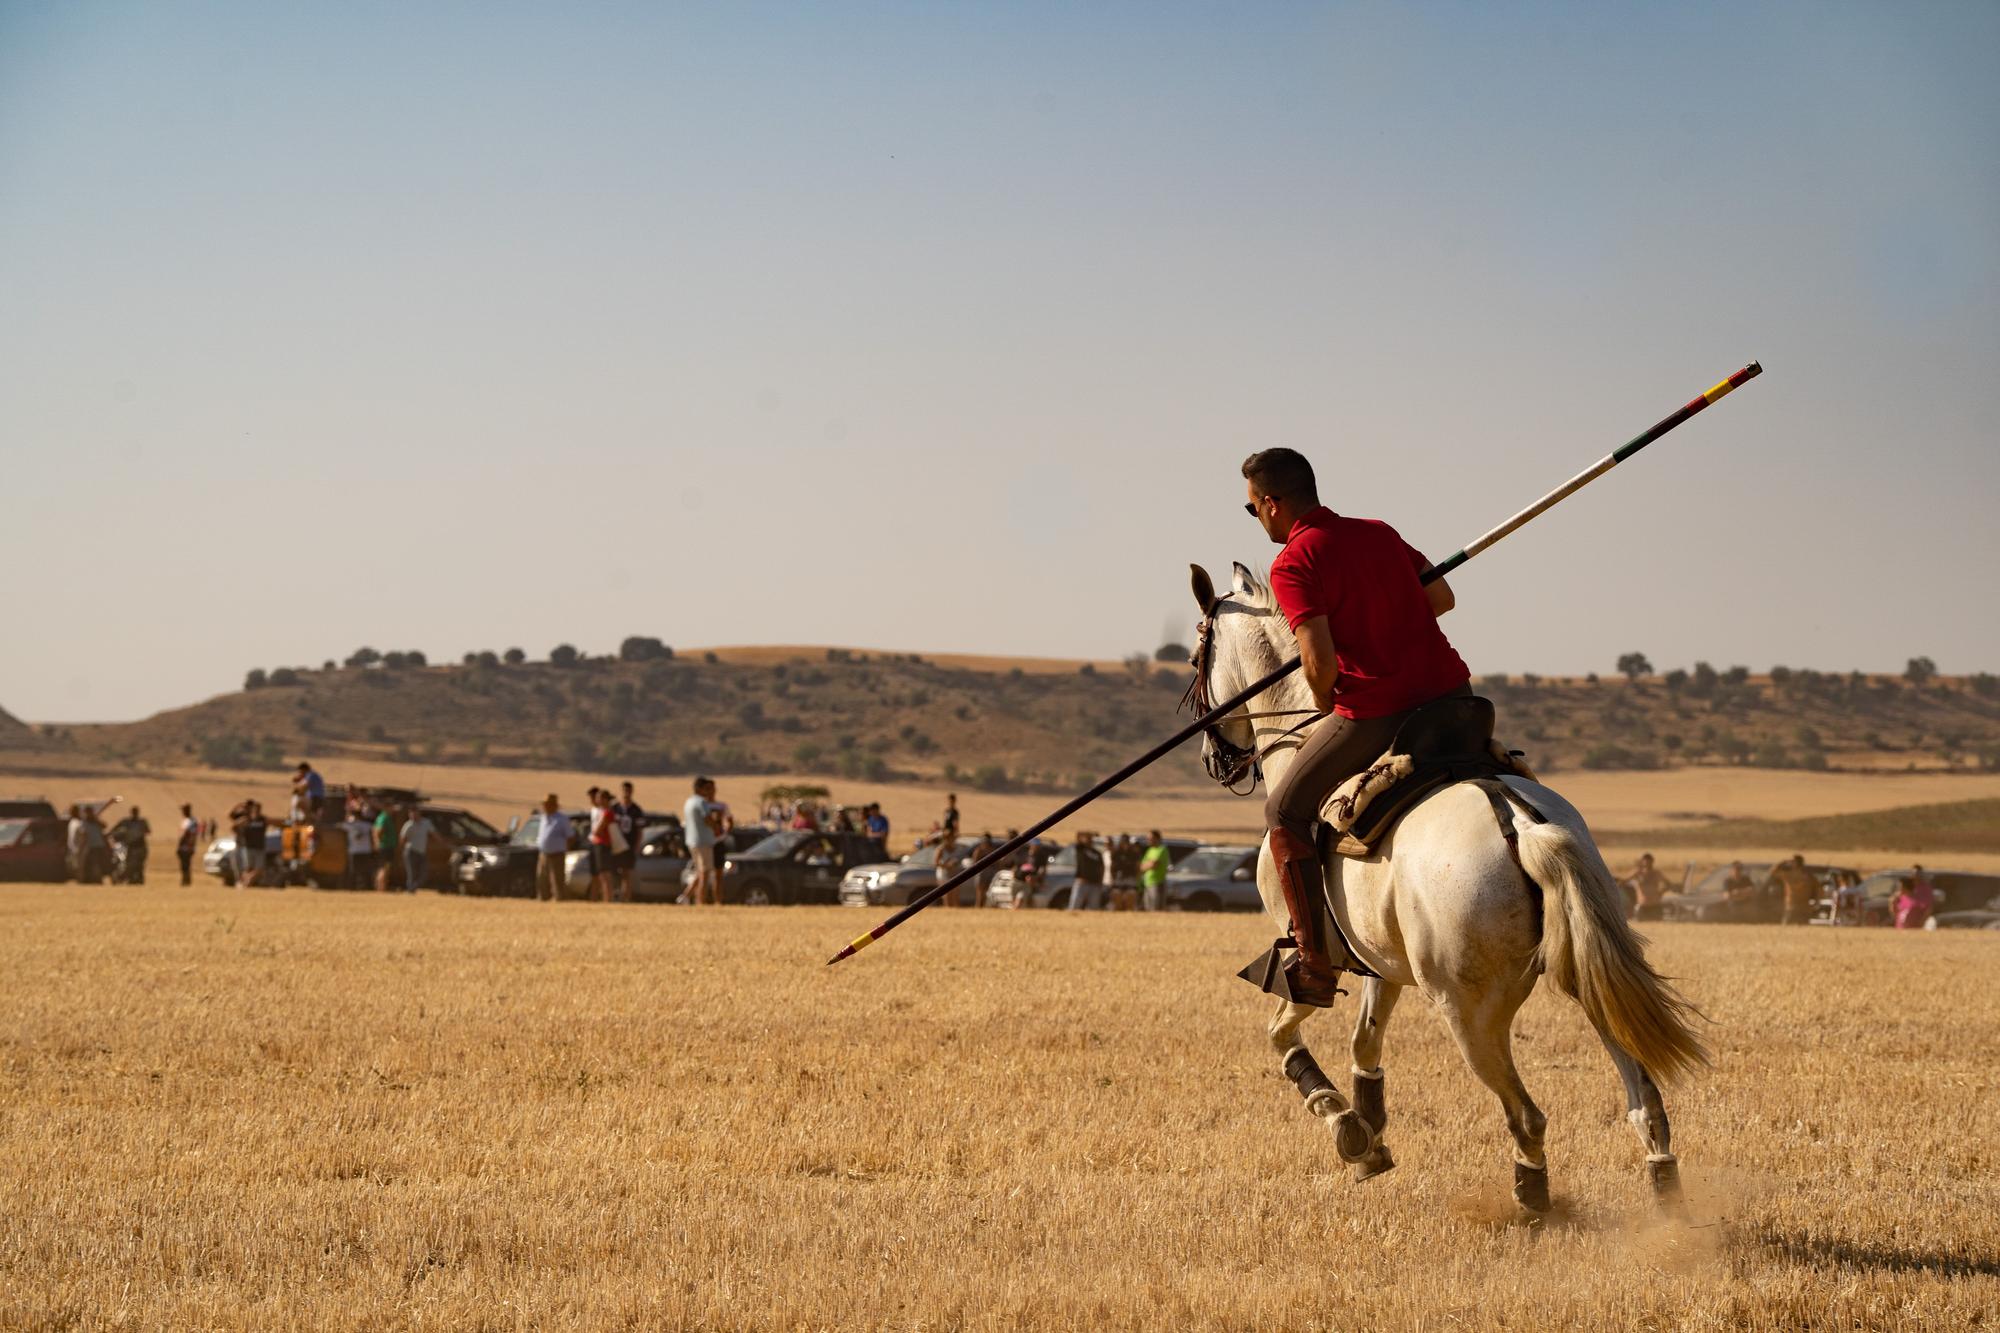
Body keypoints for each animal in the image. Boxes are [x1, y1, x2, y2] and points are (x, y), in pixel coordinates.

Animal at [1184, 560, 1720, 1216]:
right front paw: (1370, 1136)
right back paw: (1668, 1204)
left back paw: (1532, 1203)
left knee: (1527, 1115)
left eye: (1196, 658)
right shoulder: (1380, 959)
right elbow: (1365, 1042)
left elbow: (1282, 1035)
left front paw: (1347, 1128)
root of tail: (1518, 821)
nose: (1212, 760)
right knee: (1646, 1101)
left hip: (1468, 1011)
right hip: (1590, 979)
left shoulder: (1319, 958)